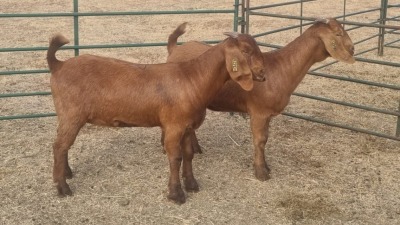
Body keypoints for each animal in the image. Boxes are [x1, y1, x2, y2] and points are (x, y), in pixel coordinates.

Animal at [46, 25, 266, 204]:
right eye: (246, 50)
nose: (263, 73)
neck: (192, 79)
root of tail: (58, 65)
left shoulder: (187, 127)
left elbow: (188, 154)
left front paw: (191, 184)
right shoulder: (173, 126)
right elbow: (175, 157)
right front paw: (176, 194)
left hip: (66, 116)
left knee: (62, 145)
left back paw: (66, 173)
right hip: (72, 115)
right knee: (59, 146)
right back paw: (62, 187)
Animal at [166, 18, 356, 181]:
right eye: (338, 33)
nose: (353, 48)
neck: (281, 68)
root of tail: (175, 49)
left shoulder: (268, 115)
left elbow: (266, 138)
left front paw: (266, 166)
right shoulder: (258, 112)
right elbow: (260, 140)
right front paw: (261, 172)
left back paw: (196, 148)